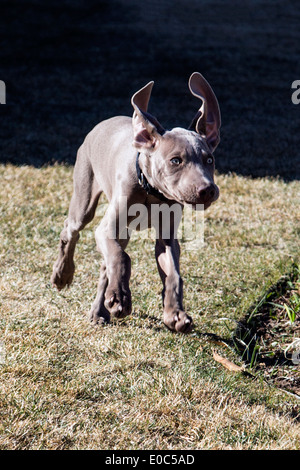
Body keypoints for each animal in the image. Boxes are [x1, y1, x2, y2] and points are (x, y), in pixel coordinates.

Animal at [51, 71, 220, 332]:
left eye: (209, 159)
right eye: (175, 160)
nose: (208, 190)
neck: (150, 191)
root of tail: (105, 121)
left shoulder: (167, 237)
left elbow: (173, 273)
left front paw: (175, 314)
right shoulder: (107, 228)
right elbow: (122, 258)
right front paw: (120, 297)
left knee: (105, 265)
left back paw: (100, 309)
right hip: (85, 195)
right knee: (72, 231)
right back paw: (63, 274)